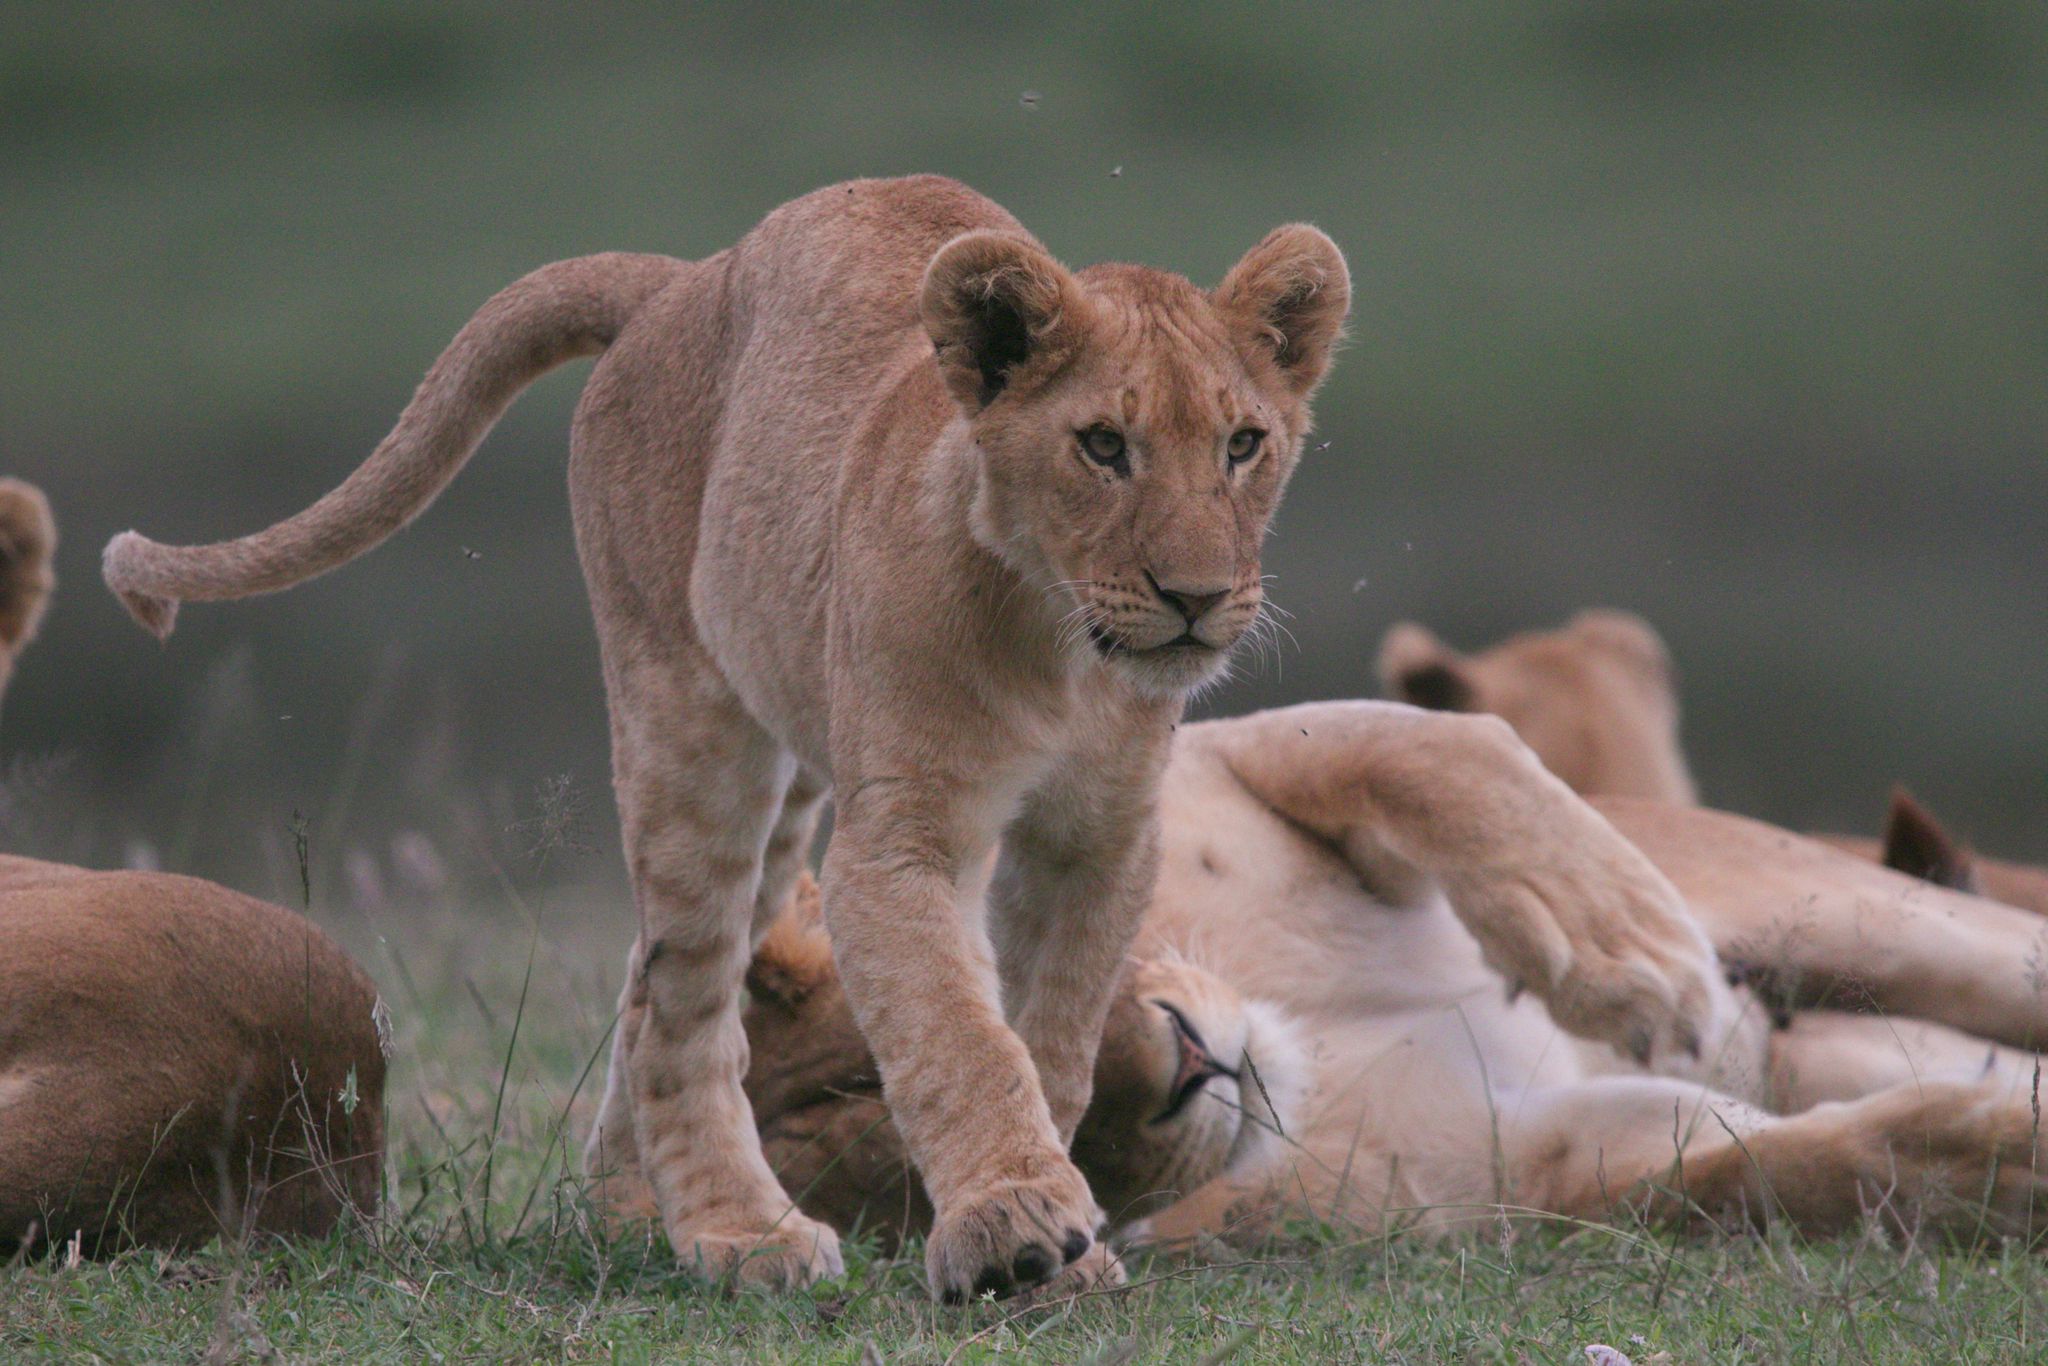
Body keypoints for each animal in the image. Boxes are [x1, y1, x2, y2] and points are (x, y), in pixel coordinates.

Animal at [724, 704, 2048, 1261]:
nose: (1184, 1061)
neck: (1299, 1042)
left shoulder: (1204, 754)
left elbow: (1422, 749)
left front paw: (1615, 944)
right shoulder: (1549, 1162)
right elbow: (1782, 1170)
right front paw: (2010, 1162)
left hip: (1824, 901)